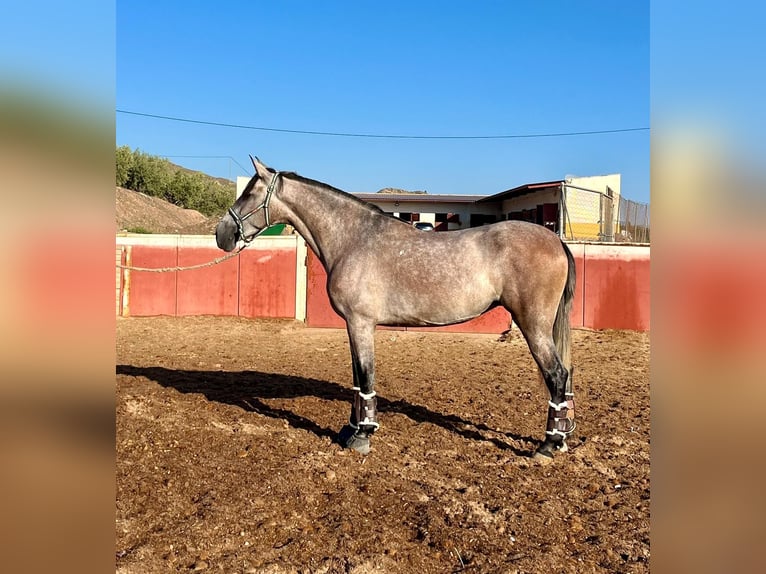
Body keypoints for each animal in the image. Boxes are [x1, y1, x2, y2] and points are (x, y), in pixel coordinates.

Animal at [216, 158, 576, 464]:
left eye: (249, 193)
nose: (223, 234)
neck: (353, 239)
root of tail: (556, 241)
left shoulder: (360, 323)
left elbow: (365, 375)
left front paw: (362, 435)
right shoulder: (354, 325)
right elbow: (357, 377)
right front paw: (351, 429)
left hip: (534, 325)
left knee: (557, 375)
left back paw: (547, 446)